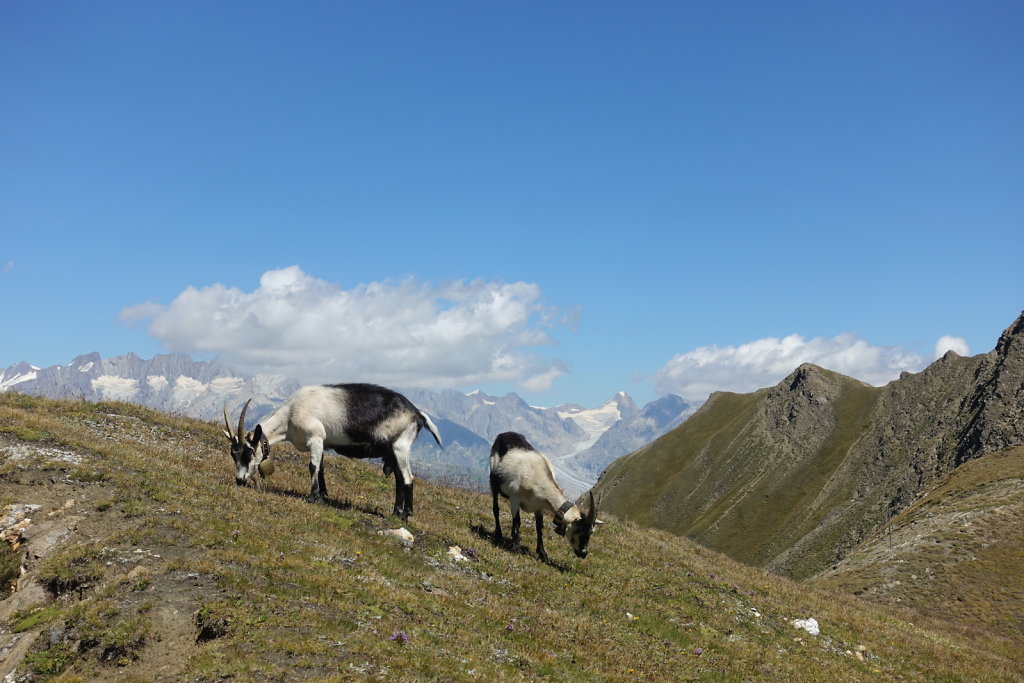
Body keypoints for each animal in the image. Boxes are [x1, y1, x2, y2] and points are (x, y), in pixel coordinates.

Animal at [224, 385, 440, 518]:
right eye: (233, 454)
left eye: (248, 452)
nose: (239, 480)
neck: (291, 414)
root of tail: (417, 413)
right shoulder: (323, 443)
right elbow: (321, 468)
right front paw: (323, 496)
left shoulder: (315, 438)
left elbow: (312, 466)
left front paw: (312, 497)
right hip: (393, 451)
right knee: (399, 479)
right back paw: (395, 512)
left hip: (401, 446)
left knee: (408, 478)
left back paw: (406, 514)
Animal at [489, 432, 598, 561]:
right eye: (579, 530)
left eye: (591, 532)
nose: (584, 553)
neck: (538, 478)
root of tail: (504, 434)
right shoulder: (515, 499)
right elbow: (517, 522)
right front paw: (515, 548)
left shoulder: (539, 506)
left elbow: (539, 527)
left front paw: (542, 553)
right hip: (494, 480)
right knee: (496, 508)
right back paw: (498, 535)